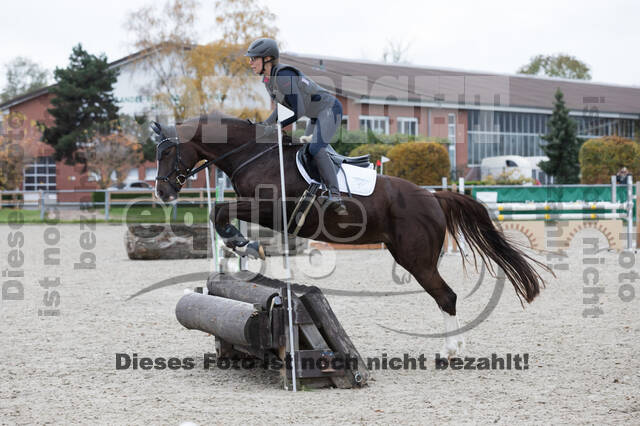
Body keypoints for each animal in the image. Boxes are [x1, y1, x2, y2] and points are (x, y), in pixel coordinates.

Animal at [152, 111, 548, 358]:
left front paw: (242, 243)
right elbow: (218, 211)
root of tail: (433, 196)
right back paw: (454, 349)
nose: (162, 193)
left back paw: (449, 351)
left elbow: (220, 210)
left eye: (168, 151)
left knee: (446, 297)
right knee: (444, 297)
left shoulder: (267, 207)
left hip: (416, 258)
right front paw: (241, 248)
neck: (255, 154)